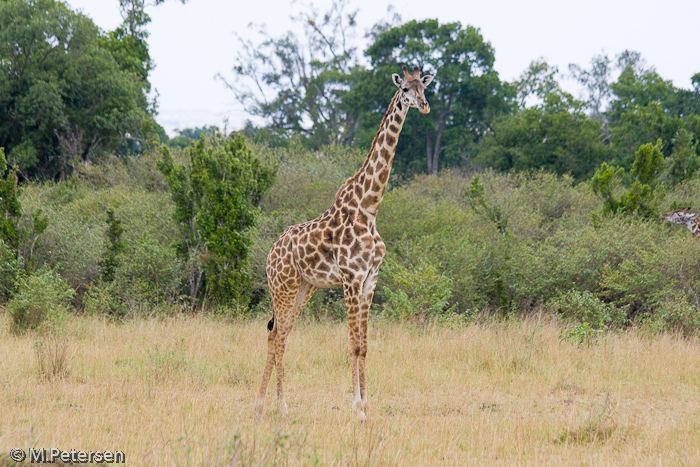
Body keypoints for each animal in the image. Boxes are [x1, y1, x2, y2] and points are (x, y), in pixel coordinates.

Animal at [258, 65, 432, 420]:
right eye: (405, 89)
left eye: (425, 87)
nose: (423, 106)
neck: (370, 207)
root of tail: (270, 253)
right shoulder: (350, 279)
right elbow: (352, 344)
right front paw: (358, 409)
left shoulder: (369, 280)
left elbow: (364, 346)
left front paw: (367, 405)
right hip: (282, 287)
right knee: (276, 335)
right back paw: (272, 405)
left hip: (304, 289)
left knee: (279, 335)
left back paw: (269, 406)